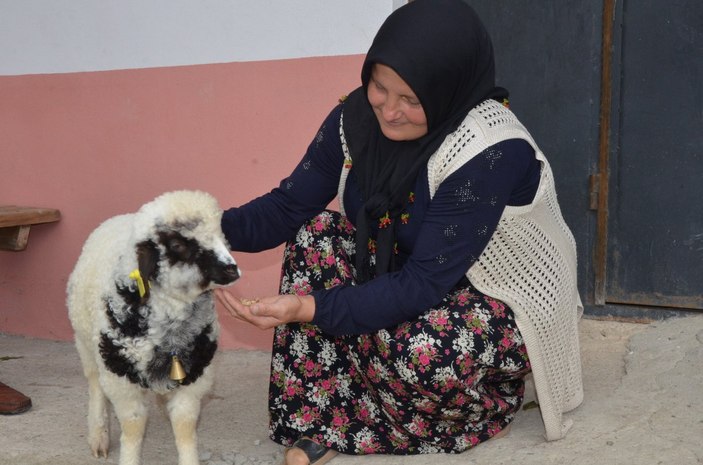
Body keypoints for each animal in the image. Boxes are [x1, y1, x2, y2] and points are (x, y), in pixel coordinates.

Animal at [67, 189, 241, 464]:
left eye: (221, 235)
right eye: (178, 244)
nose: (232, 270)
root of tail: (120, 217)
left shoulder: (195, 373)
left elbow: (184, 425)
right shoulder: (120, 377)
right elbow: (133, 426)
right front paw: (128, 458)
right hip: (86, 343)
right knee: (95, 386)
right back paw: (98, 436)